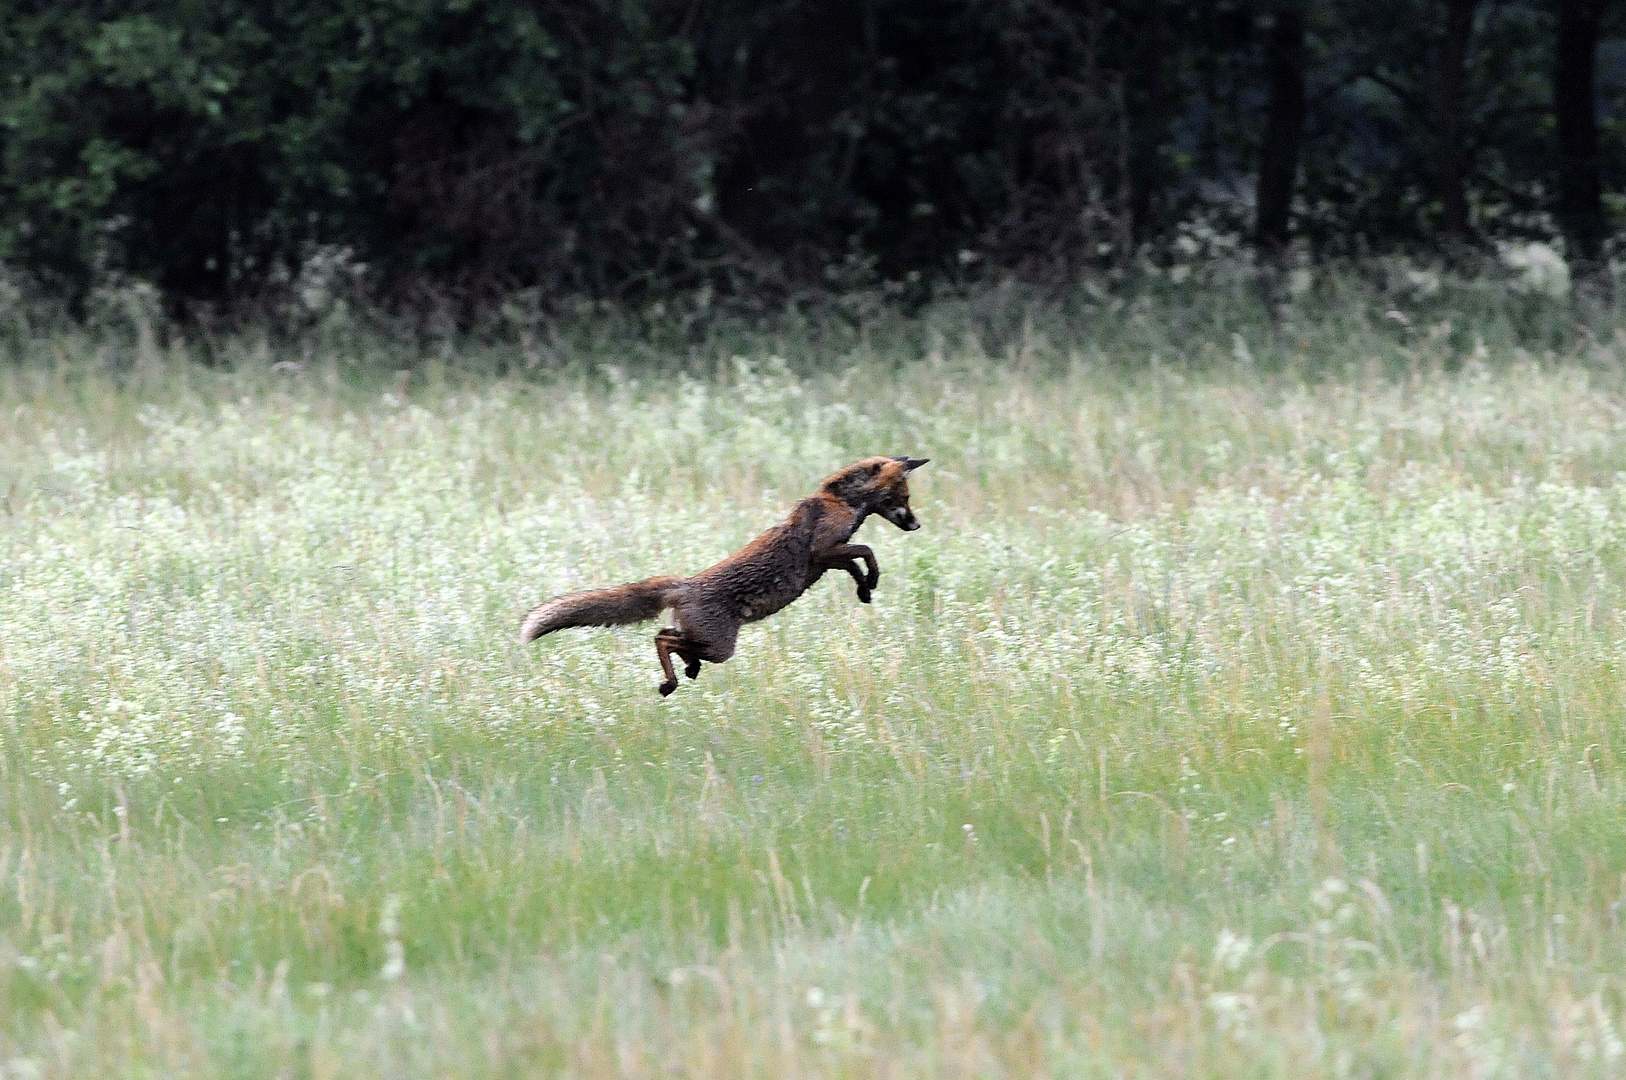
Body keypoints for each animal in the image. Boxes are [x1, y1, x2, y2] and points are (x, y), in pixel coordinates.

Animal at [520, 452, 930, 692]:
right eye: (905, 498)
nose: (917, 526)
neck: (839, 502)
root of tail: (684, 585)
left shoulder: (828, 559)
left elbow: (856, 563)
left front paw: (865, 589)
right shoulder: (822, 551)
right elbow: (867, 552)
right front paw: (871, 581)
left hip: (708, 641)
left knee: (666, 635)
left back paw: (685, 671)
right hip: (721, 647)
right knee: (663, 639)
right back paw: (674, 678)